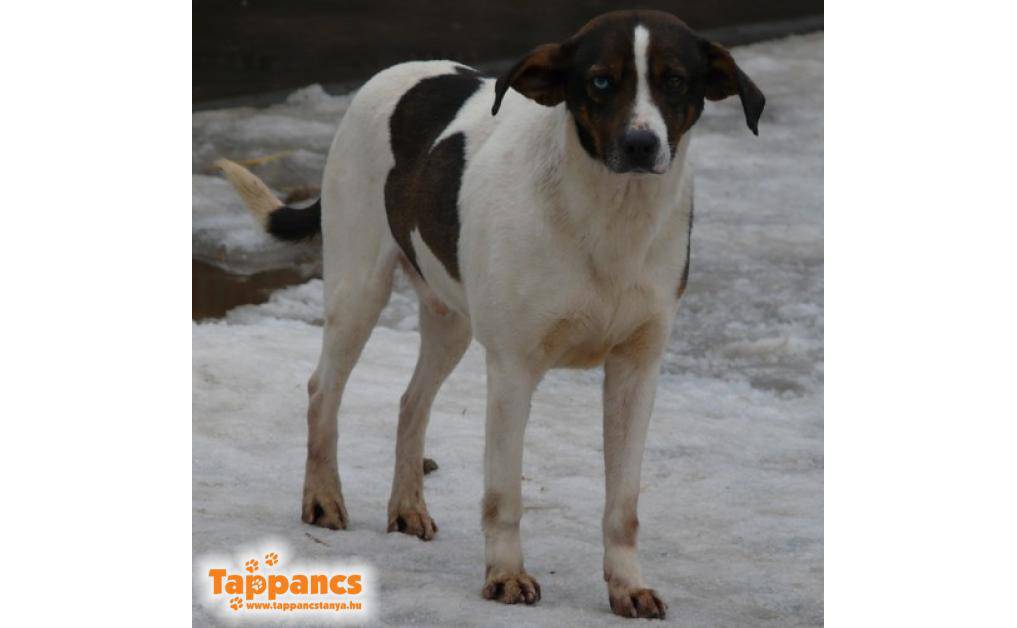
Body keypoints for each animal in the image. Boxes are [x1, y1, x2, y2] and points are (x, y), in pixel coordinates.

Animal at [216, 9, 763, 619]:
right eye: (600, 81)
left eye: (675, 81)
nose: (641, 145)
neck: (609, 215)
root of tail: (393, 71)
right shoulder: (512, 369)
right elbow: (505, 495)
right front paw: (505, 577)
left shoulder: (635, 371)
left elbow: (623, 504)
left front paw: (627, 585)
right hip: (358, 290)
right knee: (322, 392)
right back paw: (322, 499)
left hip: (451, 320)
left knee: (411, 402)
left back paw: (407, 507)